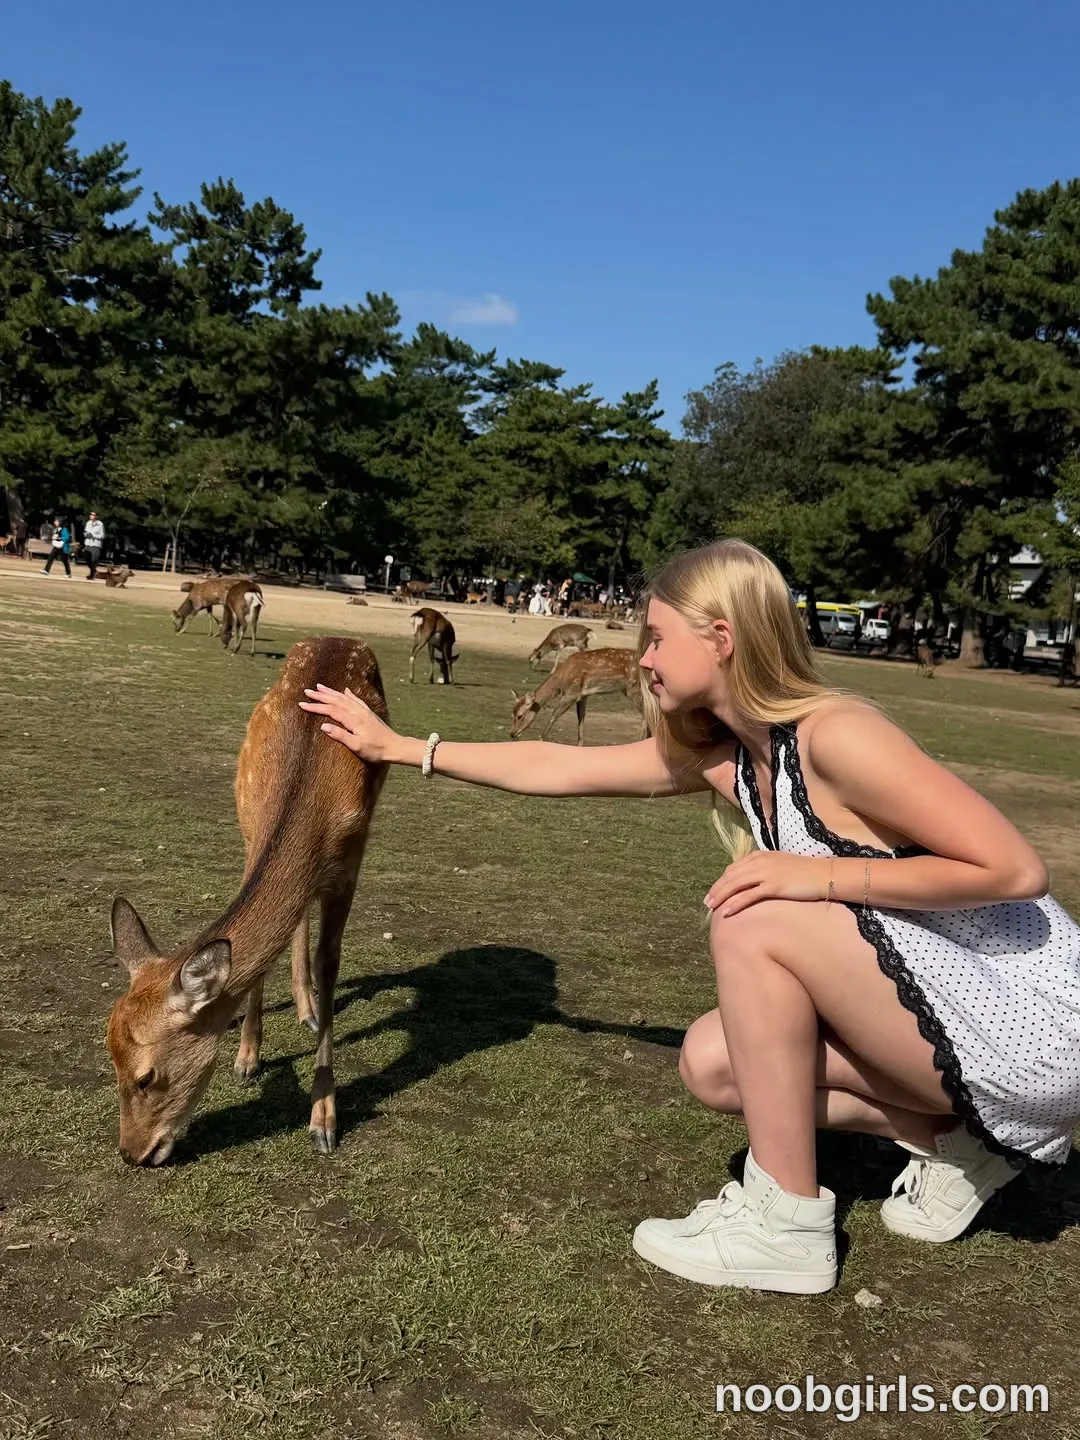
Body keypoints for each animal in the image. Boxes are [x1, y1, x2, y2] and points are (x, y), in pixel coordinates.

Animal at [105, 636, 389, 1165]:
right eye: (108, 1059)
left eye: (145, 1077)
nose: (131, 1153)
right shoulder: (250, 832)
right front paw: (246, 1057)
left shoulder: (351, 863)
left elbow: (329, 963)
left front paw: (323, 1119)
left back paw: (310, 1009)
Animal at [510, 647, 645, 745]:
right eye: (512, 712)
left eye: (520, 716)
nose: (512, 734)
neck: (560, 682)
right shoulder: (583, 695)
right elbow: (581, 719)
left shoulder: (572, 693)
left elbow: (554, 714)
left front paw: (541, 739)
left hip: (634, 689)